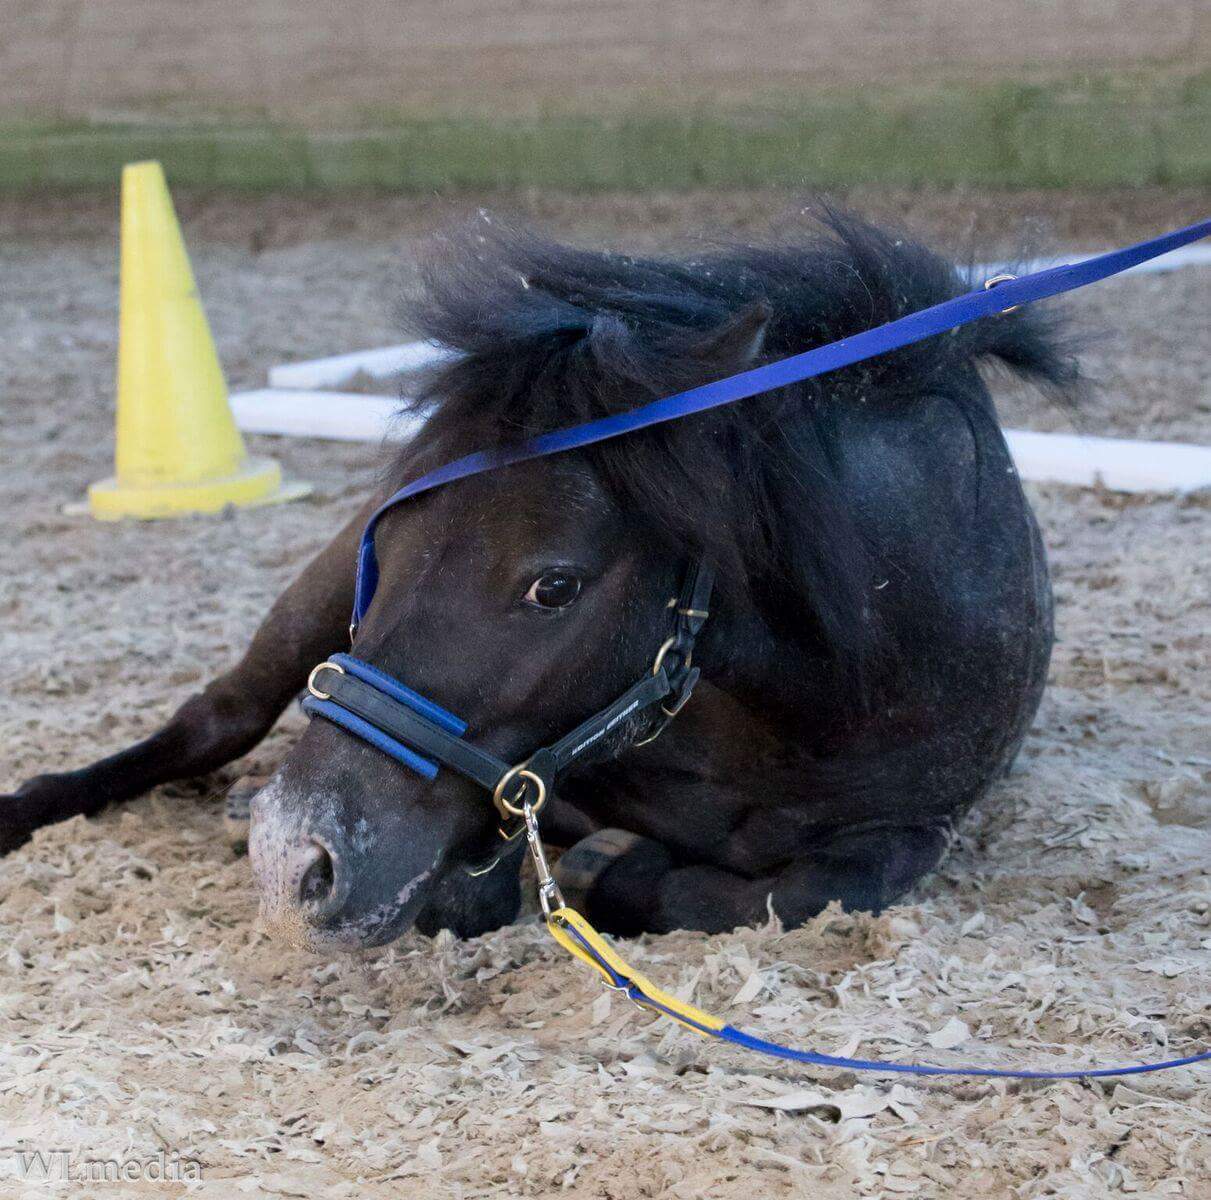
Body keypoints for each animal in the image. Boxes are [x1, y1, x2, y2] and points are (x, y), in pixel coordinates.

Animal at [2, 208, 1077, 951]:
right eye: (387, 545)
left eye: (552, 587)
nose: (296, 859)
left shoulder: (911, 825)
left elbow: (815, 888)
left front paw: (605, 867)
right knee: (211, 721)